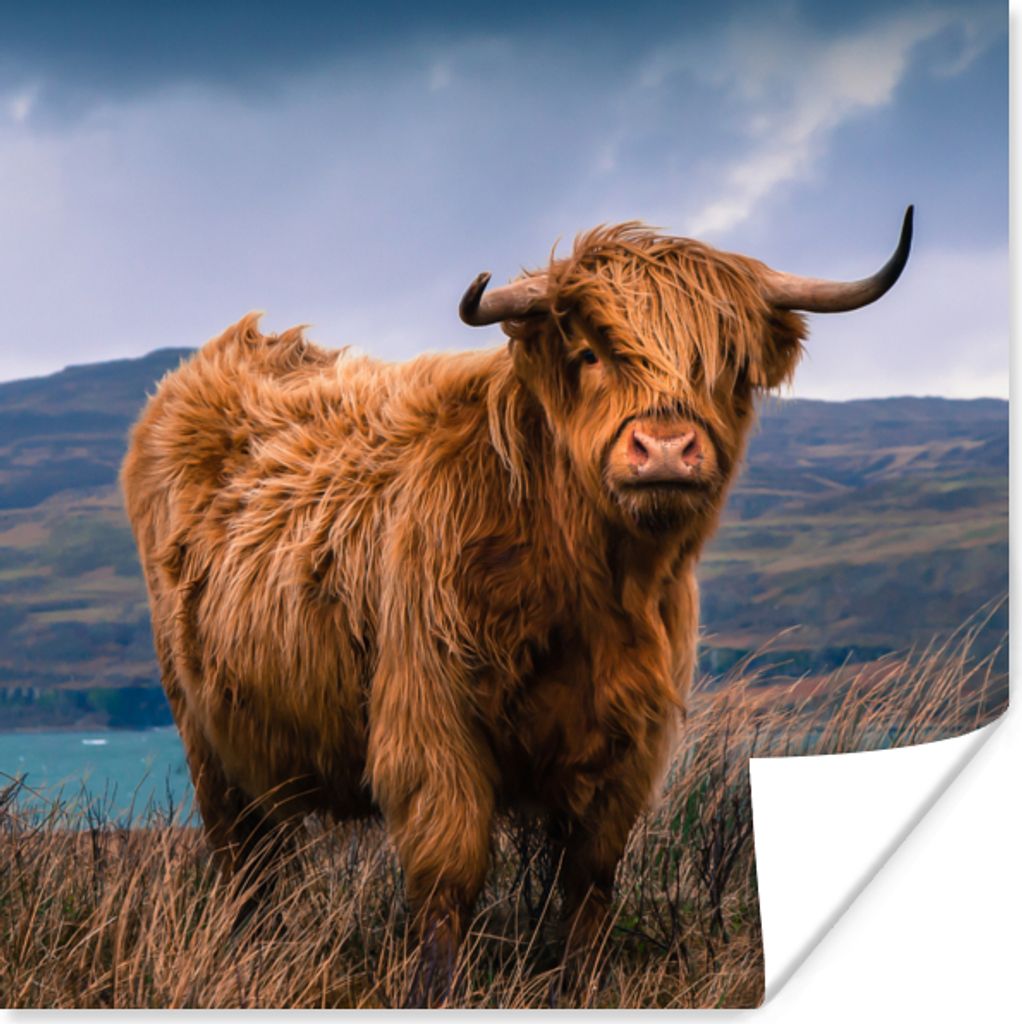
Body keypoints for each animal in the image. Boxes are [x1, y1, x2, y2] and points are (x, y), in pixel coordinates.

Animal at [121, 208, 912, 1001]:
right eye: (590, 353)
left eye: (726, 365)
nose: (663, 449)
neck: (588, 587)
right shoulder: (431, 726)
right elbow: (448, 878)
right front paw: (436, 993)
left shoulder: (631, 743)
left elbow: (590, 879)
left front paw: (581, 986)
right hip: (205, 736)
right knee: (243, 860)